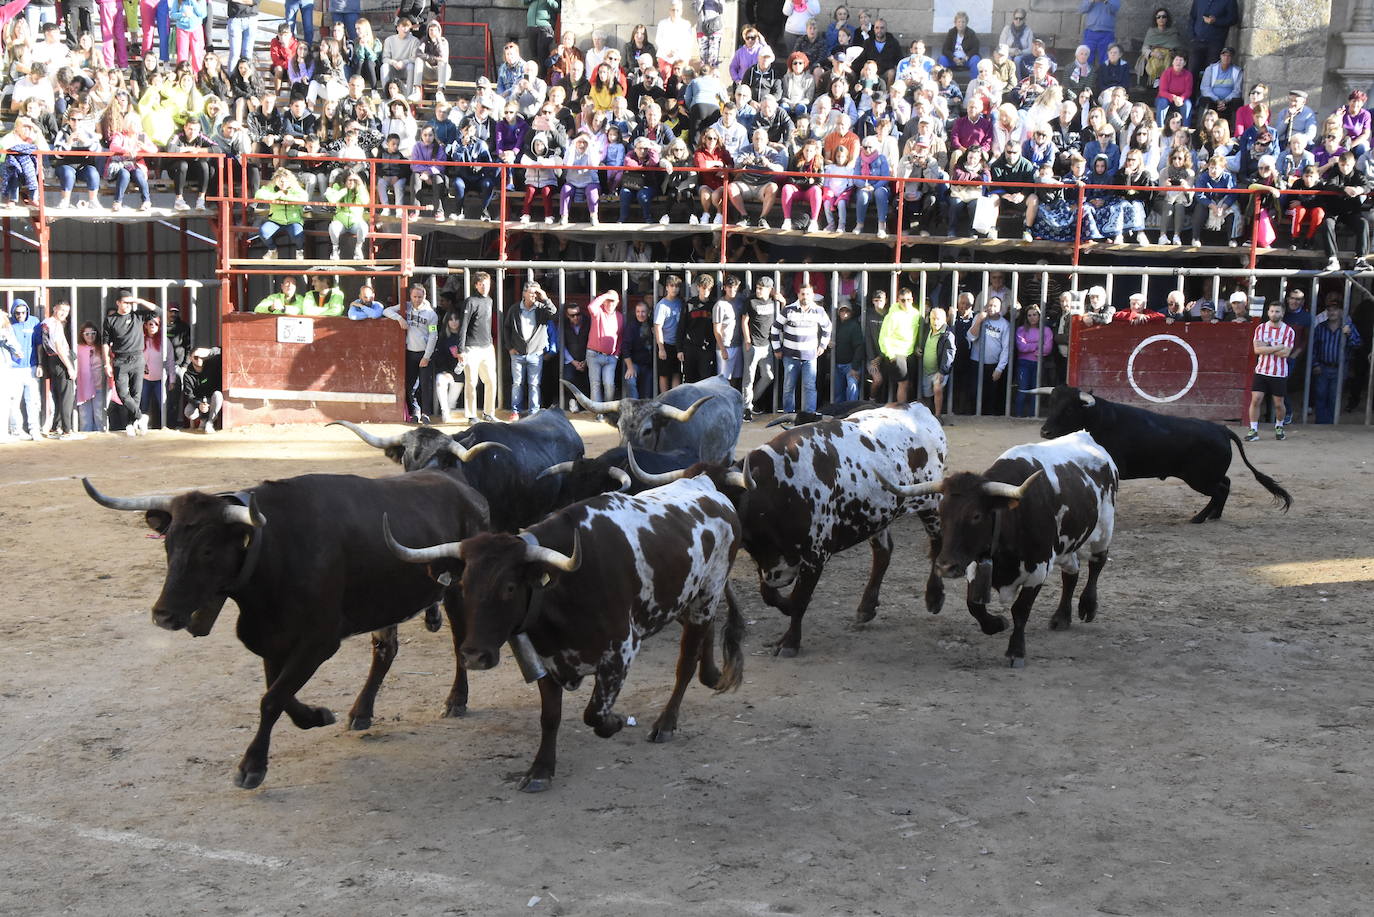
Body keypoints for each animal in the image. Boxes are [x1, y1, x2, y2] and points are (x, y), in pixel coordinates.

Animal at [381, 470, 747, 791]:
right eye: (464, 586)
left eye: (509, 587)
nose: (472, 656)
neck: (565, 587)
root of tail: (708, 488)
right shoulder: (547, 657)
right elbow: (550, 716)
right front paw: (541, 770)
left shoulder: (620, 652)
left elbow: (594, 714)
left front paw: (615, 722)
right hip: (687, 601)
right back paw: (712, 674)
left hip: (705, 598)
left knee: (685, 665)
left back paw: (666, 722)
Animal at [895, 431, 1121, 668]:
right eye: (941, 512)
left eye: (976, 515)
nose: (945, 566)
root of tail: (1087, 437)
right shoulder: (973, 563)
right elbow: (973, 605)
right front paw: (996, 624)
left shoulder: (1038, 568)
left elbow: (1020, 610)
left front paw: (1016, 650)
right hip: (1067, 546)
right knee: (1071, 573)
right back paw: (1061, 617)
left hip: (1104, 529)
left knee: (1097, 563)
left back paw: (1088, 605)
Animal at [1033, 382, 1291, 522]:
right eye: (1051, 404)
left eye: (1068, 409)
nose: (1045, 431)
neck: (1095, 420)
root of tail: (1221, 428)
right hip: (1208, 475)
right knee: (1226, 485)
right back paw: (1213, 515)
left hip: (1199, 478)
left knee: (1219, 490)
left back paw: (1198, 518)